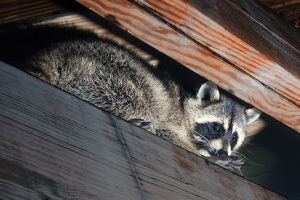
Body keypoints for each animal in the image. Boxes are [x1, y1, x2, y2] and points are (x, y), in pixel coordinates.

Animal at [0, 24, 260, 169]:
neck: (184, 105)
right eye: (216, 127)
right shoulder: (171, 118)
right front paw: (203, 154)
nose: (222, 152)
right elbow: (164, 130)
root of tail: (52, 52)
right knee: (139, 100)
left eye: (234, 136)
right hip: (105, 72)